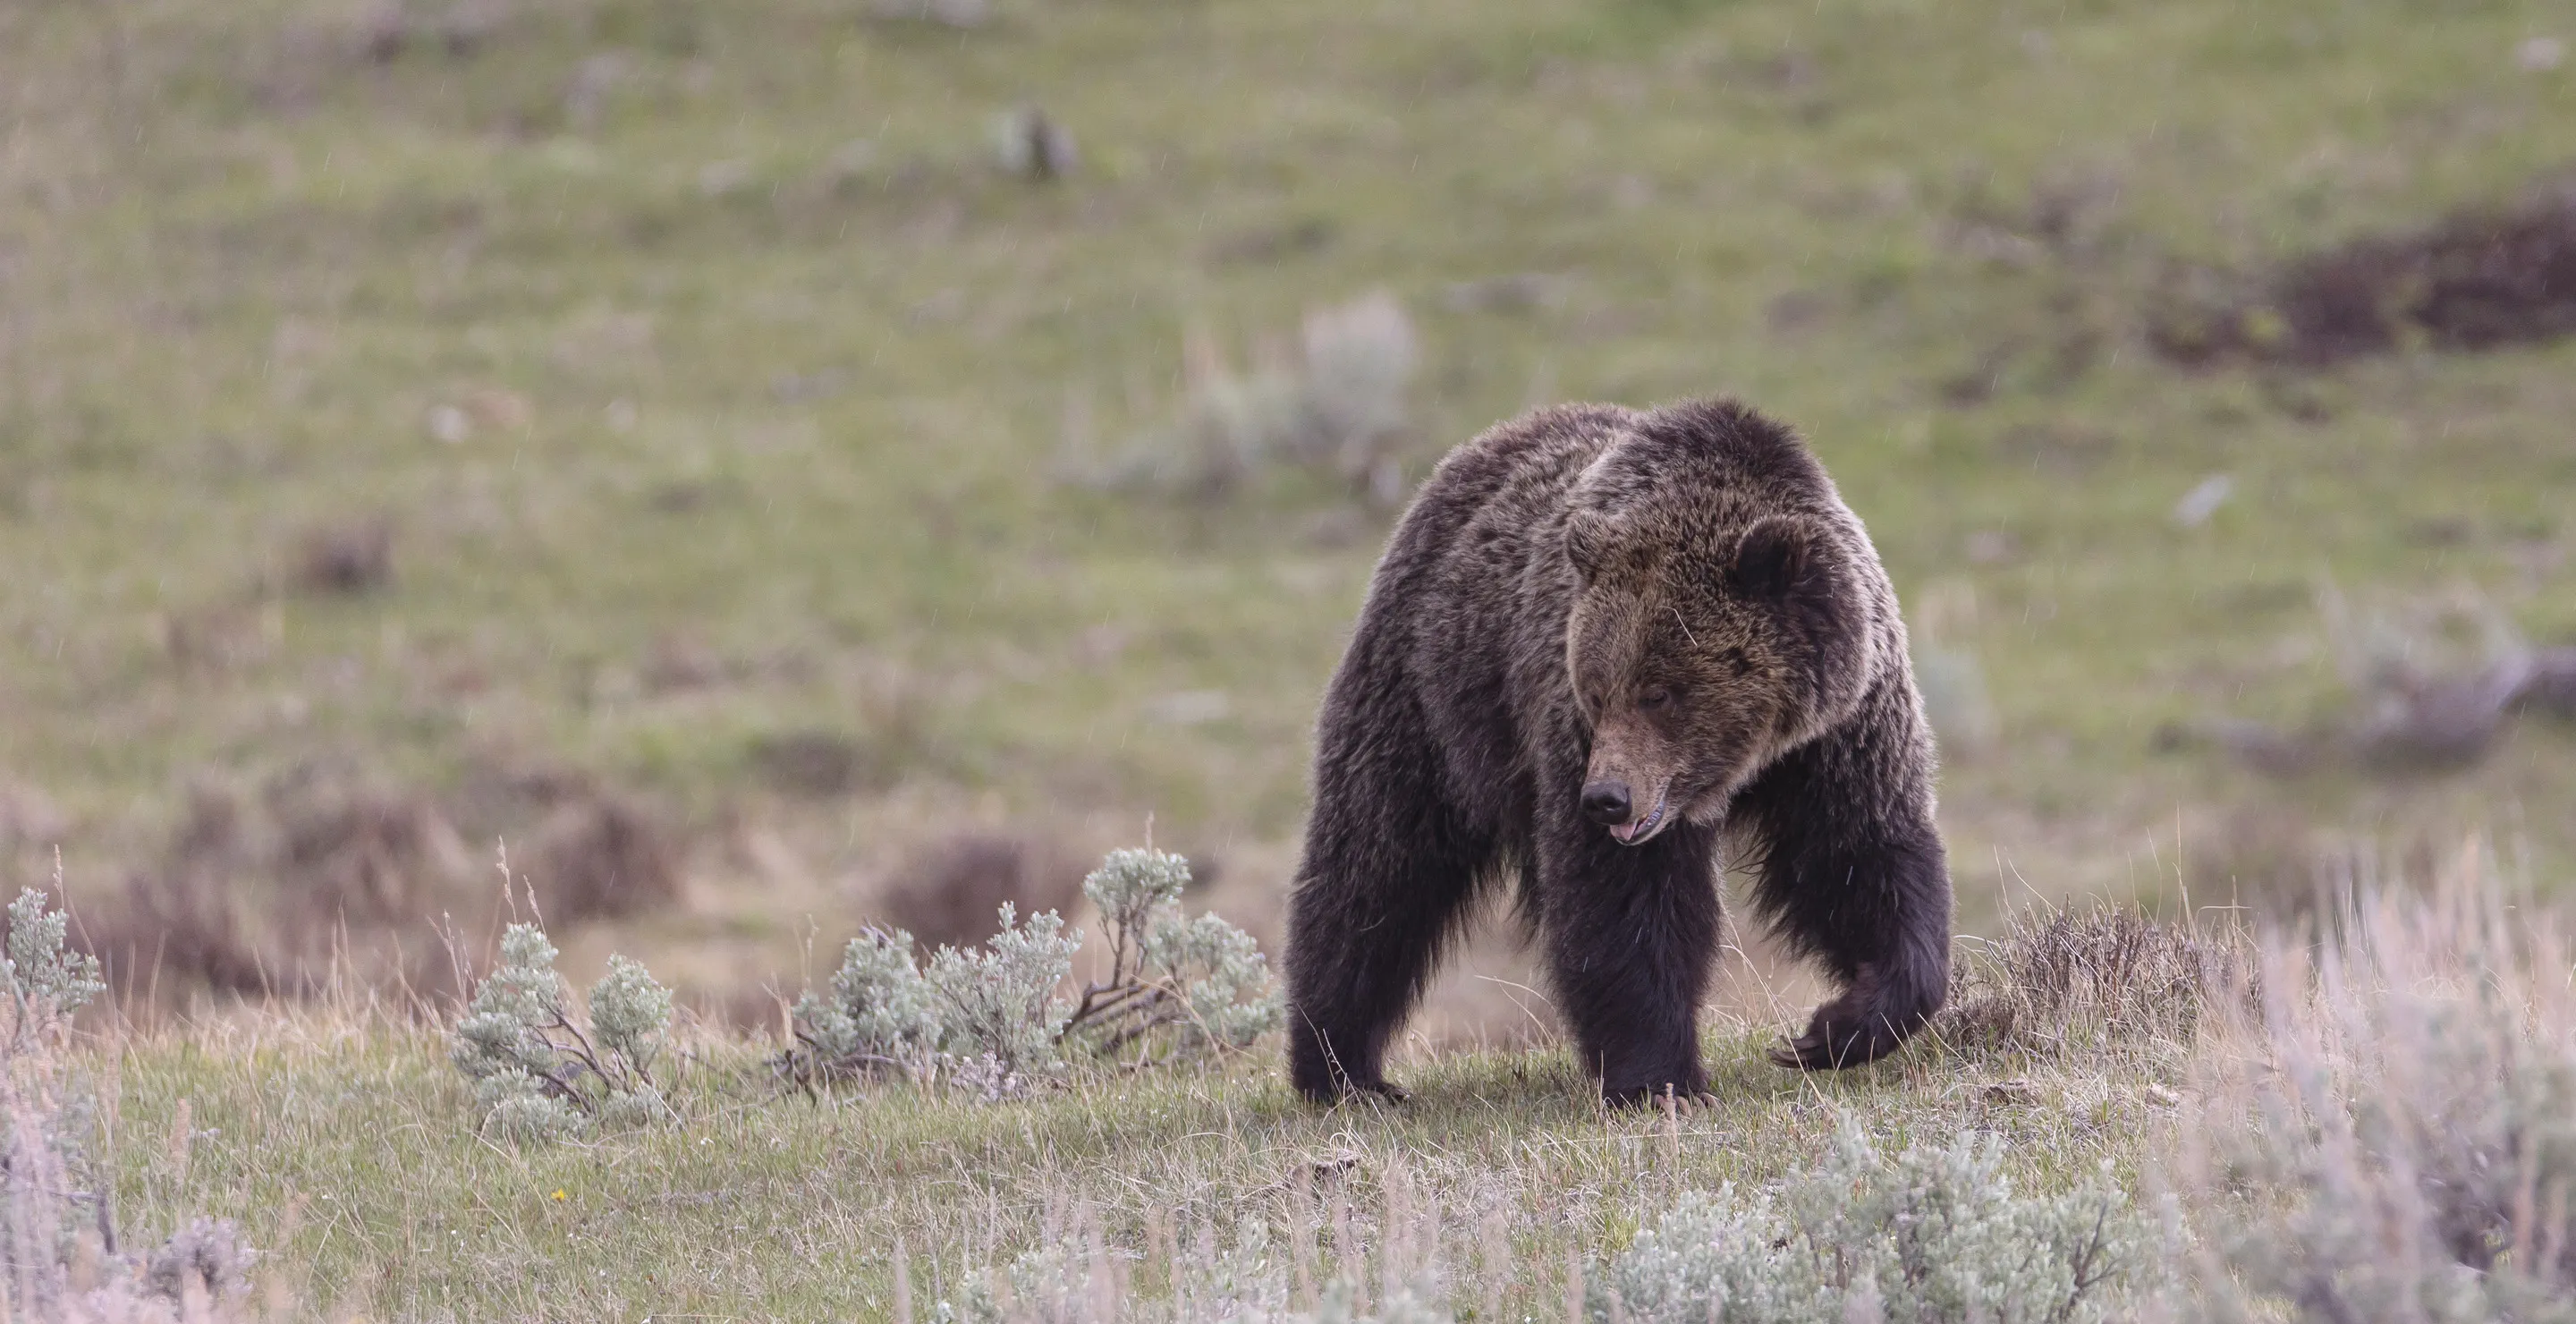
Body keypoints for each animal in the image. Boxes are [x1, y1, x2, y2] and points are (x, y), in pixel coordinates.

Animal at [1288, 396, 1947, 1097]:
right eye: (1599, 690)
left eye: (1661, 692)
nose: (1607, 798)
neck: (1754, 756)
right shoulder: (1574, 736)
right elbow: (1623, 907)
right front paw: (1661, 1078)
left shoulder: (1841, 735)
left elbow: (1860, 859)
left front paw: (1835, 1029)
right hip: (1429, 699)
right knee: (1376, 868)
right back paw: (1341, 1068)